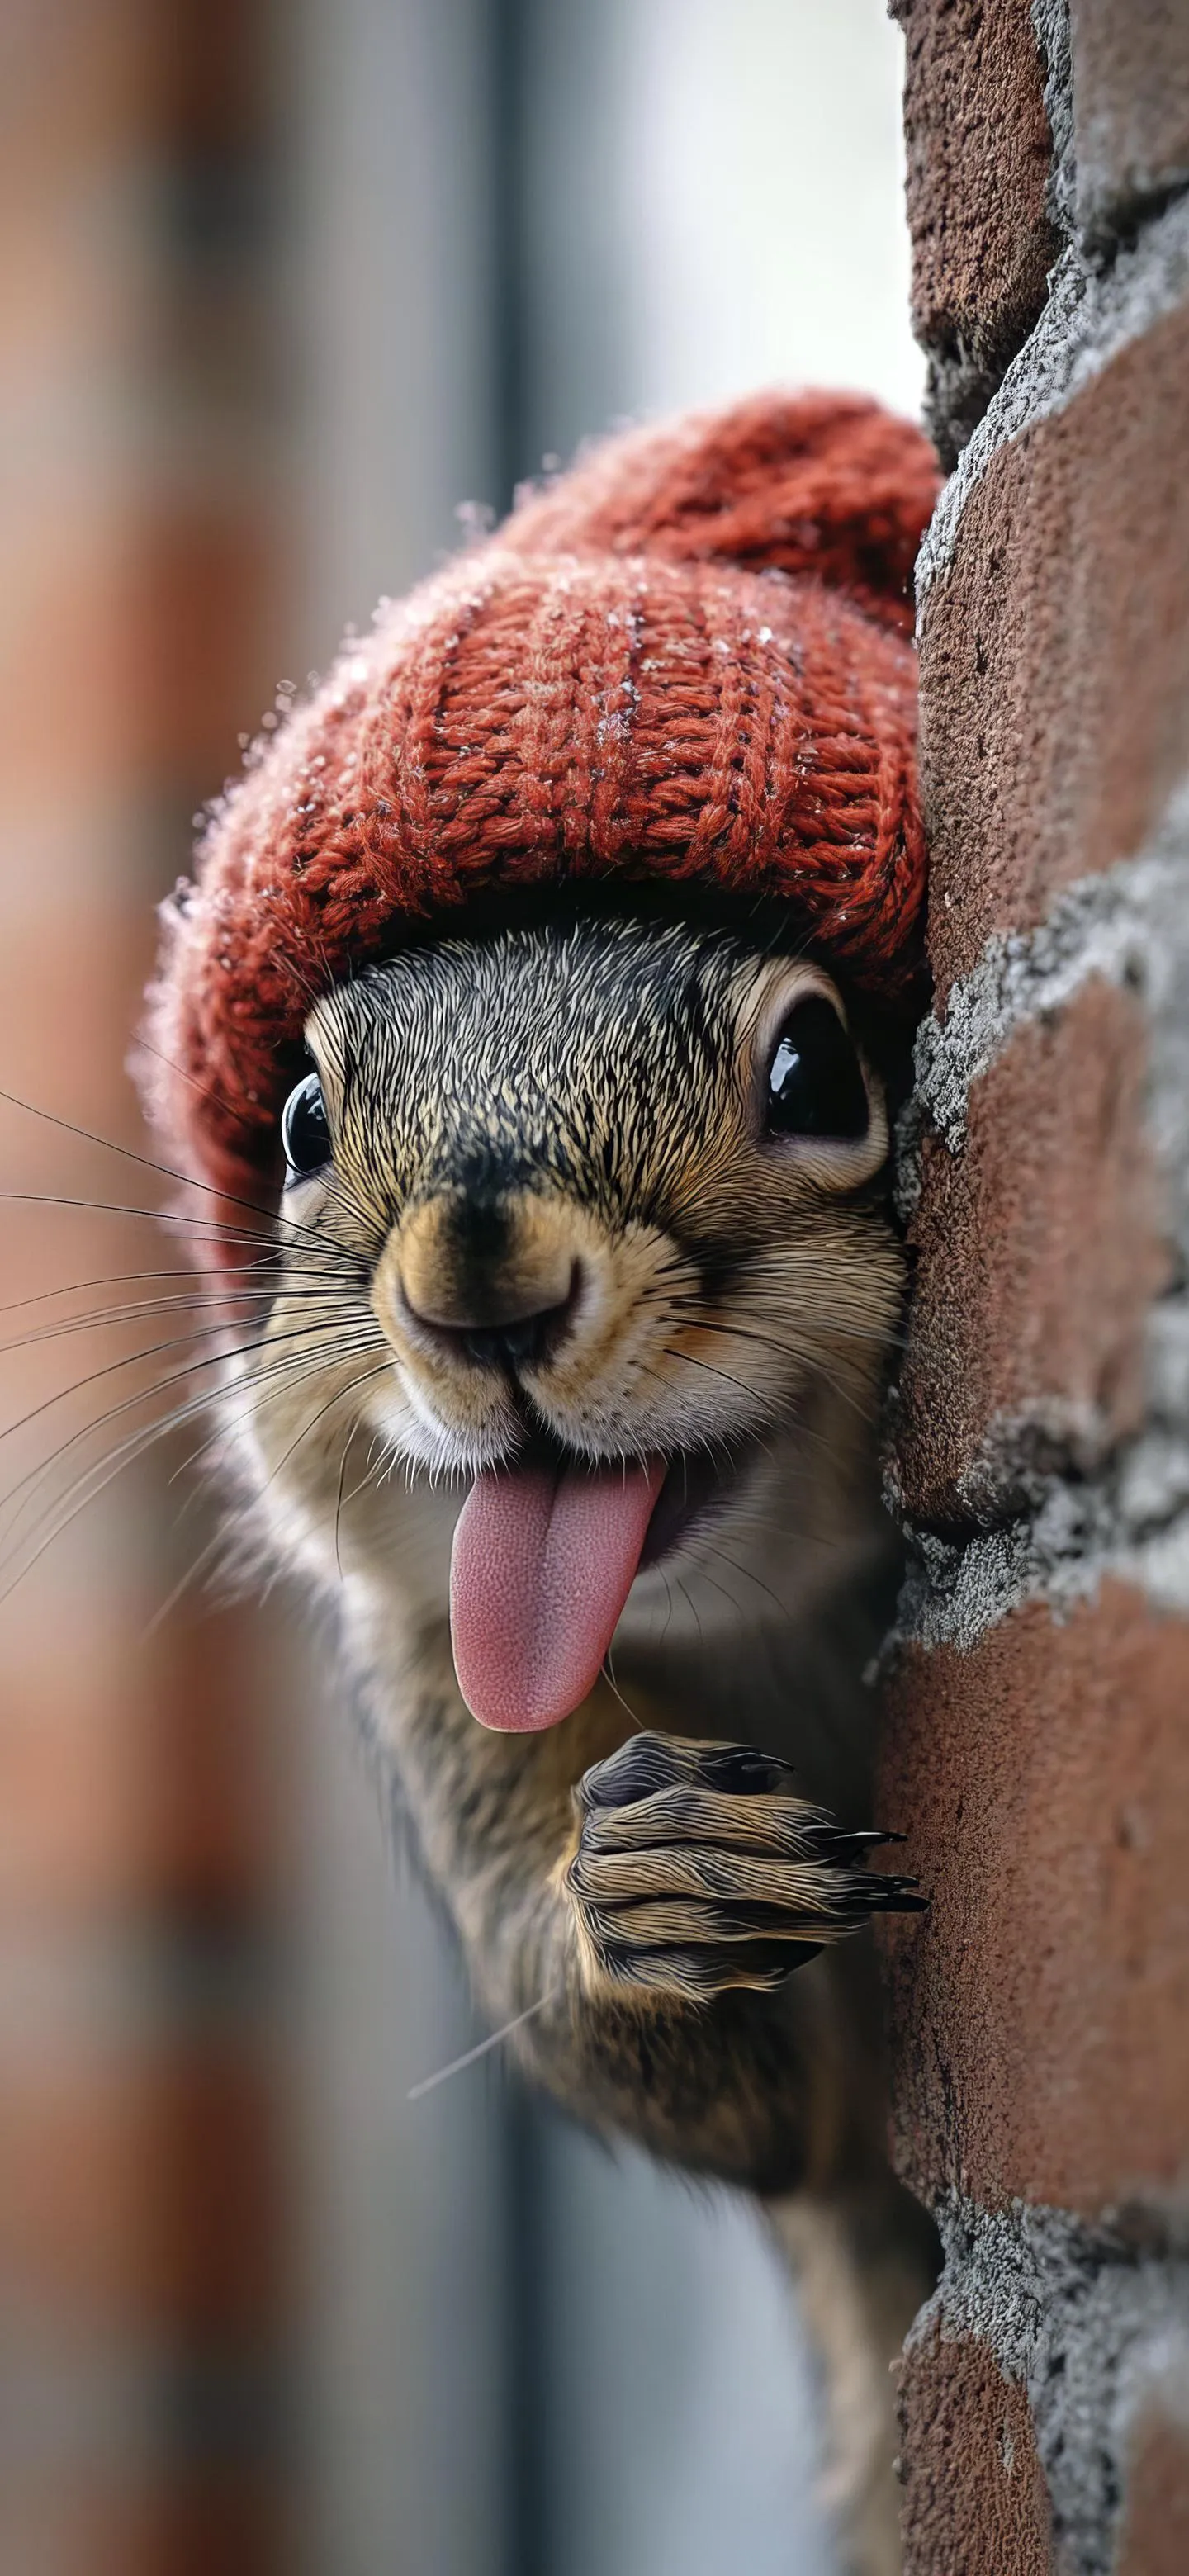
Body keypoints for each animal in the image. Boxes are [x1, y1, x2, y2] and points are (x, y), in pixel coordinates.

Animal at [140, 393, 943, 2576]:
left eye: (820, 1071)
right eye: (302, 1121)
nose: (477, 1271)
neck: (753, 1631)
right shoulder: (443, 1688)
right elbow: (750, 2108)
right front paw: (642, 1880)